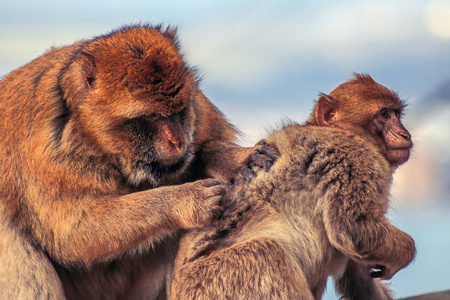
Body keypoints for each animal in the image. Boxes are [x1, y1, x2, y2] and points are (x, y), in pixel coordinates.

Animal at [0, 24, 274, 298]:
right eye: (151, 117)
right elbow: (71, 233)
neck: (91, 136)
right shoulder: (51, 156)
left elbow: (201, 151)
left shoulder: (199, 111)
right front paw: (186, 200)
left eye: (179, 111)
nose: (178, 141)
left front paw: (235, 159)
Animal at [171, 74, 416, 300]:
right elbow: (353, 230)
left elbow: (357, 270)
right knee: (266, 253)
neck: (348, 133)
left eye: (397, 114)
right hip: (213, 281)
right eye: (384, 114)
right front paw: (406, 252)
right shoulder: (357, 158)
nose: (405, 134)